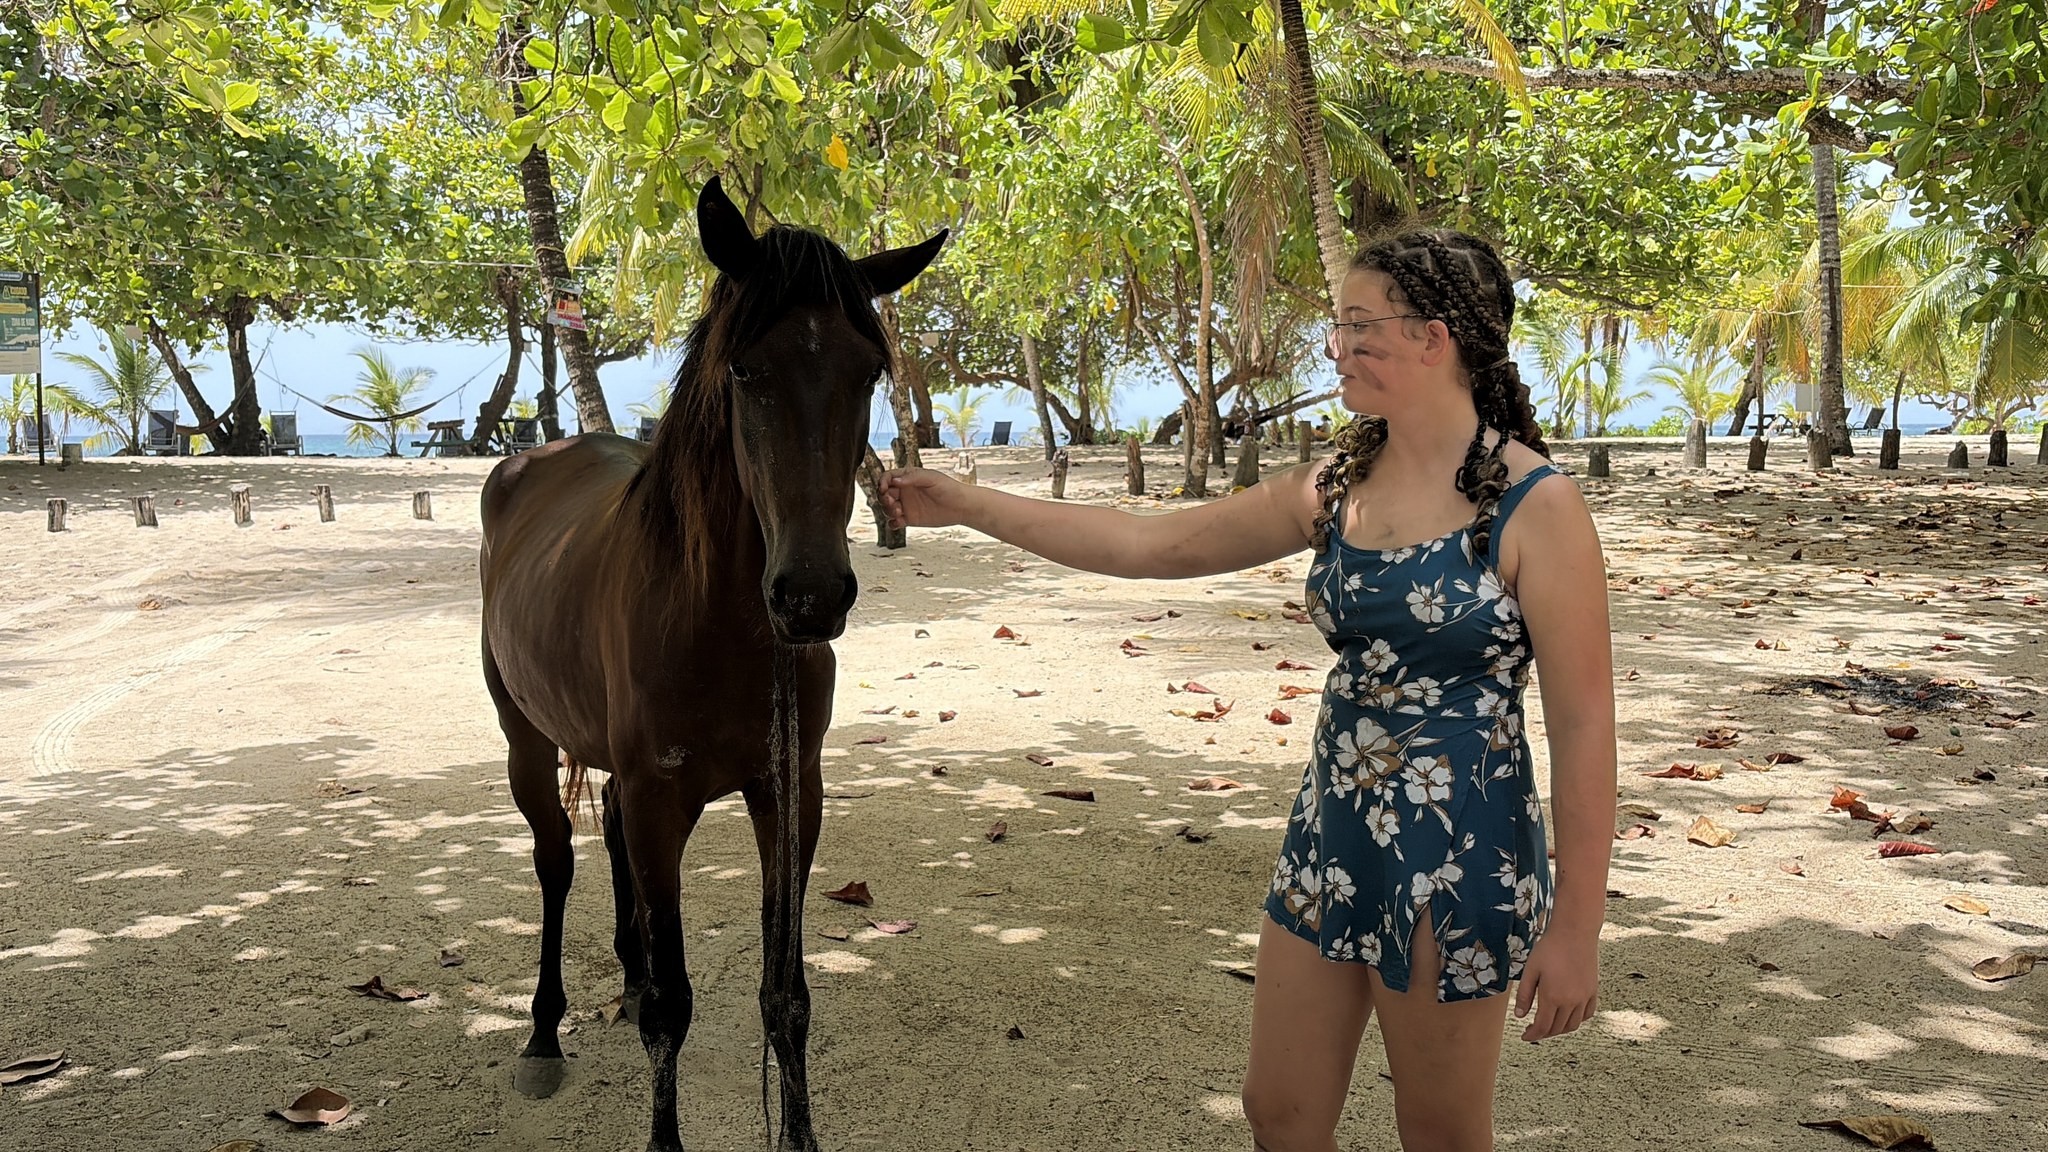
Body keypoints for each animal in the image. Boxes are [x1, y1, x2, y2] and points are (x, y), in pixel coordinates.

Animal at [478, 175, 945, 1152]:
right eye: (743, 368)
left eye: (869, 371)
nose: (811, 596)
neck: (721, 624)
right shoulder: (664, 801)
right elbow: (672, 1008)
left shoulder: (789, 794)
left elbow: (785, 996)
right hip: (524, 742)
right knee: (555, 862)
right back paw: (543, 1032)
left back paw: (618, 977)